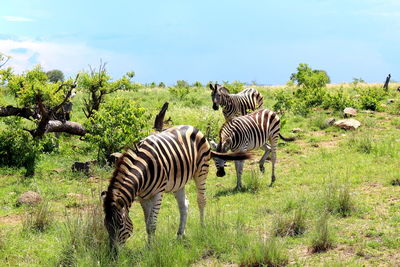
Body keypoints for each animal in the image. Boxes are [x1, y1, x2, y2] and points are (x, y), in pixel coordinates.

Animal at [101, 125, 250, 253]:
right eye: (106, 225)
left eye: (120, 225)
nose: (113, 254)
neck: (143, 170)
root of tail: (193, 127)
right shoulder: (143, 197)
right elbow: (147, 223)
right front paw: (150, 246)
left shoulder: (158, 193)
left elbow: (151, 224)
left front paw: (151, 249)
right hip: (179, 183)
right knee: (184, 205)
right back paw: (180, 234)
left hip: (201, 171)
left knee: (201, 200)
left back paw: (202, 226)